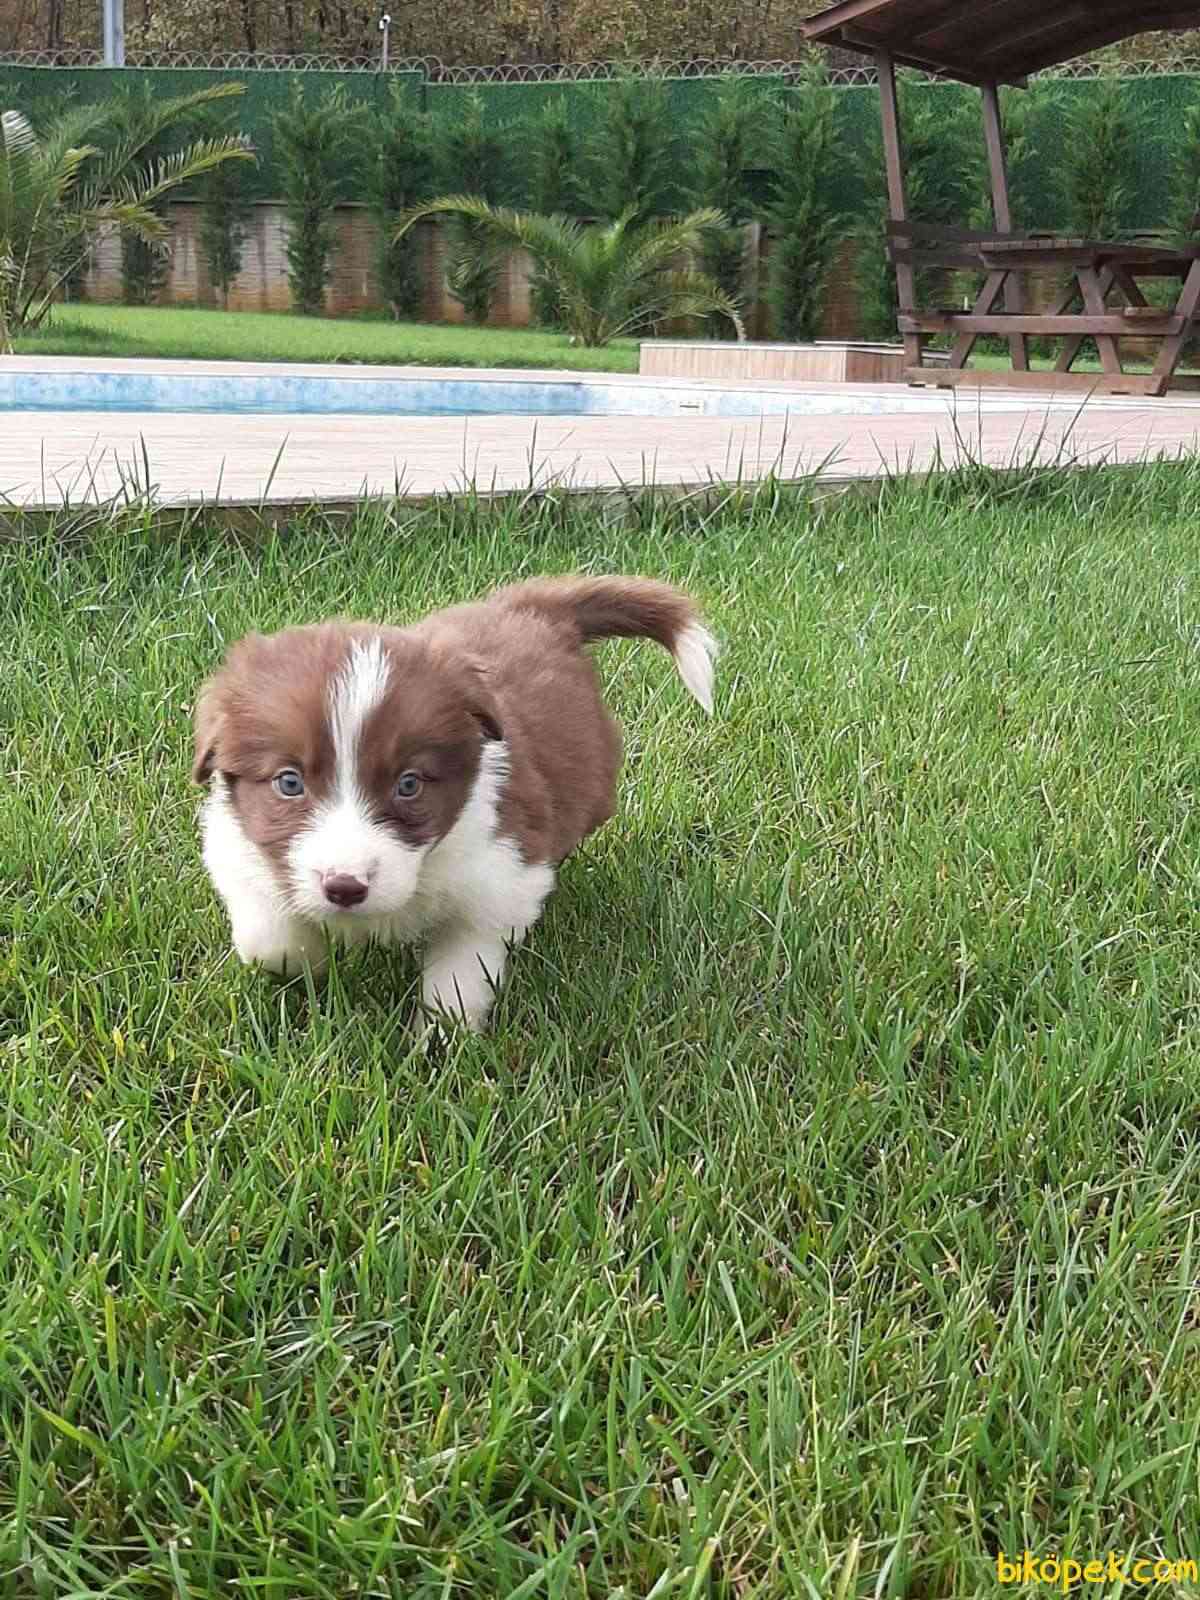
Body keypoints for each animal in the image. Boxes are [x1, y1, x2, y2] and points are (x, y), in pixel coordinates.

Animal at [193, 575, 717, 1030]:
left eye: (409, 785)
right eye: (289, 782)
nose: (344, 888)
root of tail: (533, 607)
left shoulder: (500, 878)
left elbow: (459, 979)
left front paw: (440, 1045)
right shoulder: (235, 847)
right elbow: (269, 941)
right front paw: (310, 968)